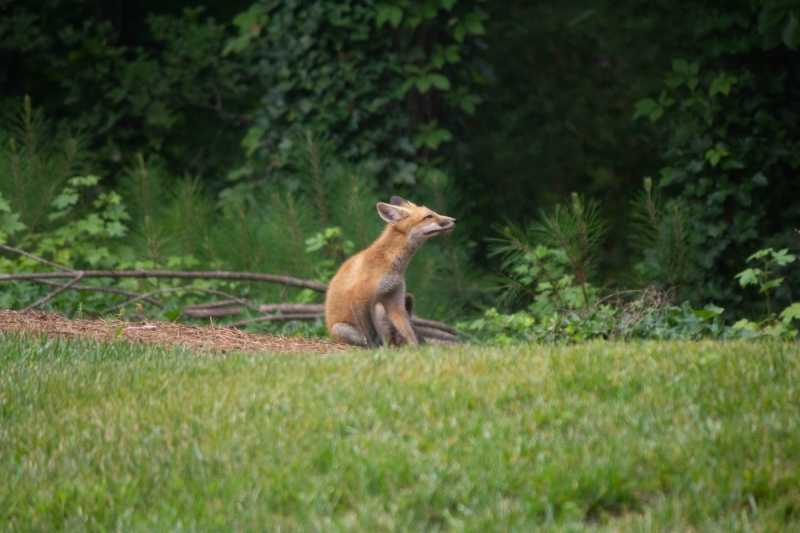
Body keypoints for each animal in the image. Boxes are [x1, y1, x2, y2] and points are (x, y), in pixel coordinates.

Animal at [325, 196, 457, 347]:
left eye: (433, 213)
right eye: (429, 216)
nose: (454, 220)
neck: (390, 263)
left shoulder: (394, 300)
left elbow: (411, 331)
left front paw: (421, 348)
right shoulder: (360, 299)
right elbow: (371, 334)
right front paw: (375, 350)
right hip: (341, 328)